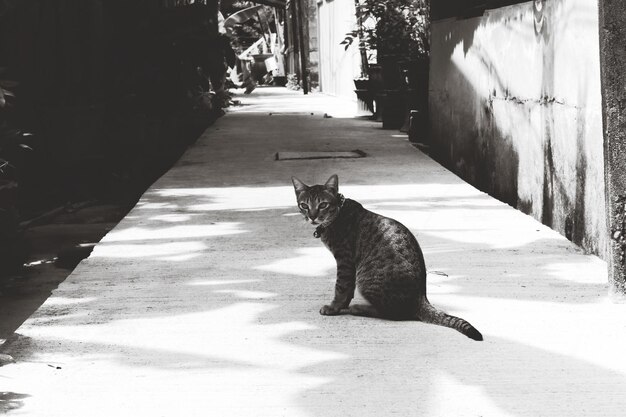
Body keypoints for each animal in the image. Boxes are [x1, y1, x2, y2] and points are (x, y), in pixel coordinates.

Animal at [290, 174, 480, 340]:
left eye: (322, 205)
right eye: (304, 205)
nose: (312, 216)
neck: (337, 214)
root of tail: (421, 298)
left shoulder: (344, 260)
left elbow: (341, 288)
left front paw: (334, 307)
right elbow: (346, 290)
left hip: (367, 280)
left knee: (394, 313)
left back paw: (359, 308)